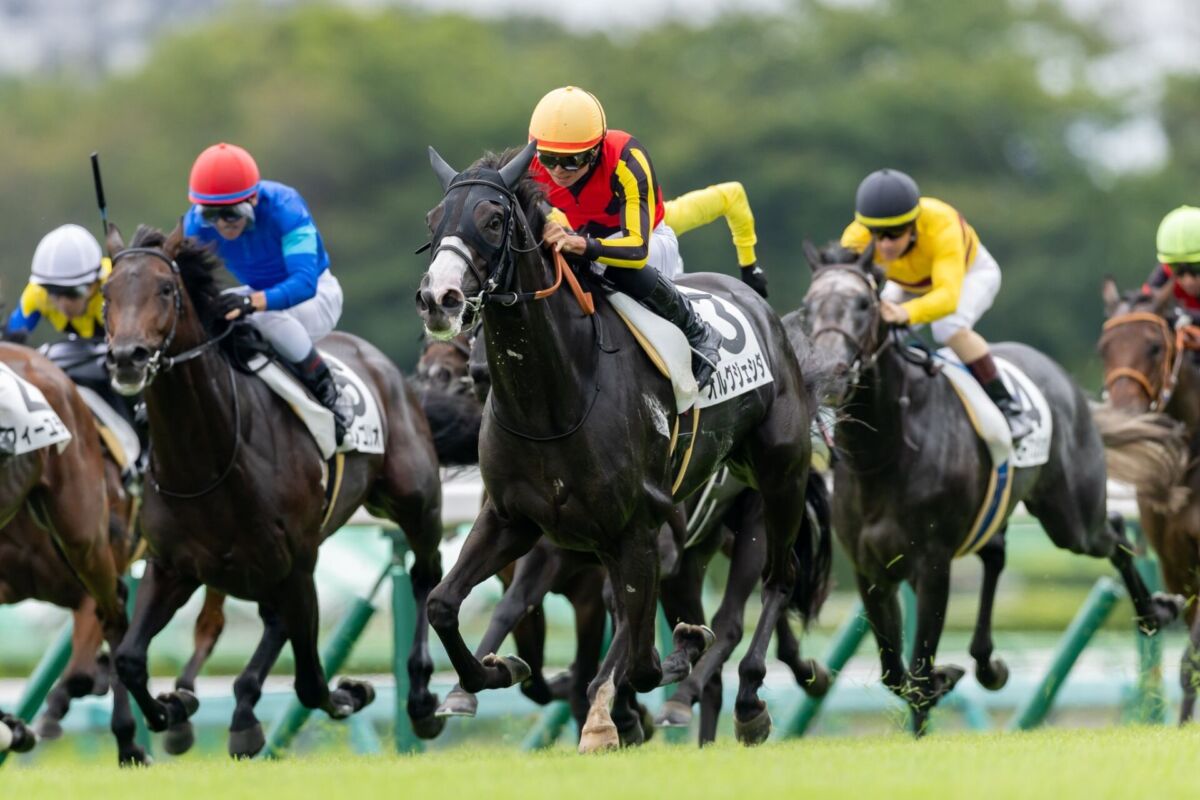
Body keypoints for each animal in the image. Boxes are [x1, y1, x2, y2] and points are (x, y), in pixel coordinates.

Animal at [101, 223, 446, 758]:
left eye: (166, 289)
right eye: (107, 292)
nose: (126, 357)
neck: (209, 460)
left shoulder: (299, 561)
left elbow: (311, 682)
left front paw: (353, 691)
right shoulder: (172, 566)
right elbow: (131, 660)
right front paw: (174, 709)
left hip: (413, 501)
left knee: (425, 574)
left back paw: (422, 698)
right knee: (274, 621)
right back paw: (242, 713)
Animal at [415, 143, 829, 751]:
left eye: (492, 220)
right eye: (433, 221)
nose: (437, 299)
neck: (556, 399)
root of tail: (759, 305)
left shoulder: (636, 530)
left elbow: (639, 655)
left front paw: (625, 705)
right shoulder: (513, 521)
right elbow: (445, 604)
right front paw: (492, 672)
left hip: (776, 483)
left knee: (776, 582)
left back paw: (749, 700)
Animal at [799, 242, 1182, 733]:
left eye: (865, 304)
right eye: (808, 308)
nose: (830, 371)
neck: (883, 454)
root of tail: (1062, 378)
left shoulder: (932, 562)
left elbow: (918, 667)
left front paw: (933, 692)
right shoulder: (871, 569)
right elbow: (893, 672)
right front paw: (943, 680)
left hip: (1070, 520)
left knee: (1112, 530)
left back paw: (1154, 611)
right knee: (997, 553)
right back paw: (988, 663)